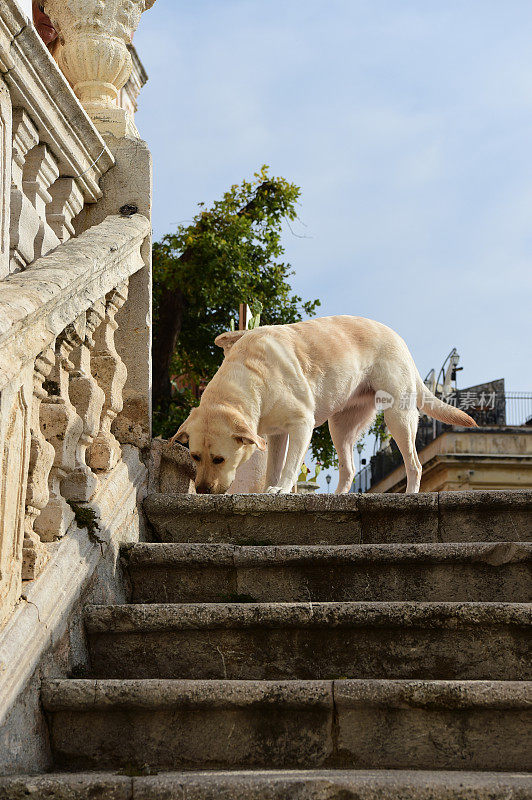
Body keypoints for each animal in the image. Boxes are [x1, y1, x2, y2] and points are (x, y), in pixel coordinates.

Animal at [172, 314, 476, 494]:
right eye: (195, 456)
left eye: (219, 459)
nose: (202, 490)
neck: (250, 371)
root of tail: (400, 340)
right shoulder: (276, 434)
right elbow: (272, 469)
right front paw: (269, 490)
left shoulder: (301, 424)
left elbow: (290, 466)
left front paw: (281, 490)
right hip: (339, 427)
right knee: (349, 469)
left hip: (397, 417)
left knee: (414, 464)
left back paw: (411, 494)